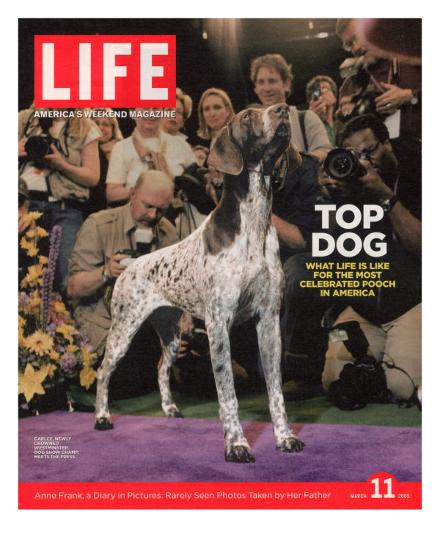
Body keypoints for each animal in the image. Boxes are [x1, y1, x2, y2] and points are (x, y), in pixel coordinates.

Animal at [94, 104, 304, 466]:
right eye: (247, 116)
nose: (282, 108)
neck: (254, 220)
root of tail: (130, 264)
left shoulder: (268, 322)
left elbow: (276, 391)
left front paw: (285, 437)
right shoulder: (219, 326)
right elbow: (228, 394)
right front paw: (237, 445)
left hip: (171, 333)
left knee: (161, 368)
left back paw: (170, 408)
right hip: (124, 330)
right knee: (103, 372)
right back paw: (102, 417)